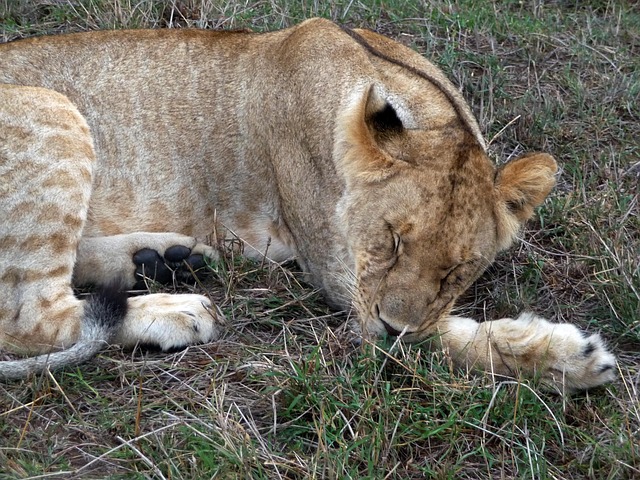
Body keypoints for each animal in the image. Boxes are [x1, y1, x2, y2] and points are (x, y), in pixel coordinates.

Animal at [0, 18, 615, 391]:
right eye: (392, 239)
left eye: (458, 270)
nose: (392, 326)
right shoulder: (337, 274)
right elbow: (427, 337)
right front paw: (570, 357)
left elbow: (426, 326)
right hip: (52, 107)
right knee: (30, 321)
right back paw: (177, 309)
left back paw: (164, 260)